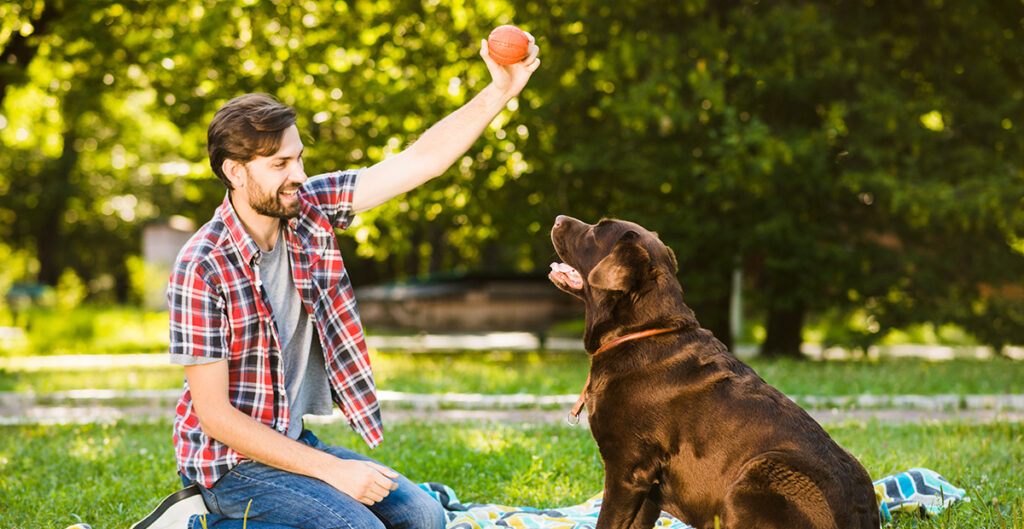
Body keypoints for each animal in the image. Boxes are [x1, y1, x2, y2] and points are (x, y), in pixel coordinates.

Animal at [548, 215, 876, 527]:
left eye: (597, 230)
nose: (558, 219)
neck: (640, 330)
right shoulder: (648, 486)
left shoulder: (627, 469)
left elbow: (608, 520)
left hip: (759, 473)